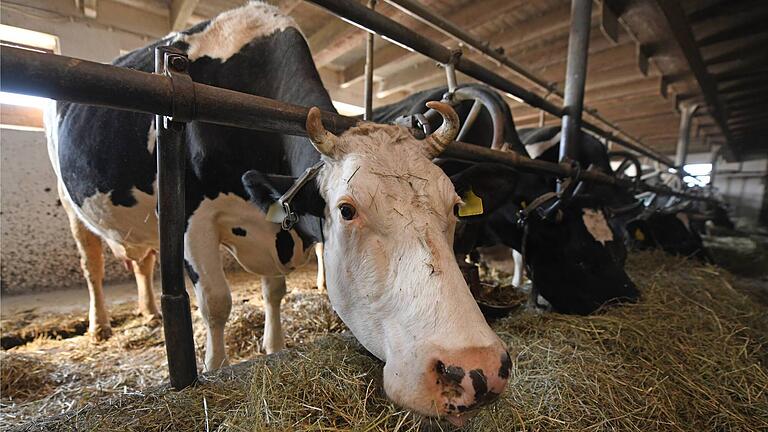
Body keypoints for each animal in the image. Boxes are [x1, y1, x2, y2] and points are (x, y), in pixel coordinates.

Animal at [46, 1, 510, 424]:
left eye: (454, 206)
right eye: (346, 210)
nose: (478, 369)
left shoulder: (273, 226)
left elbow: (274, 290)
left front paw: (273, 347)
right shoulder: (190, 218)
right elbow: (215, 301)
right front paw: (214, 368)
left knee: (142, 262)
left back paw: (149, 311)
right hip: (73, 207)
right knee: (93, 265)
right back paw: (101, 325)